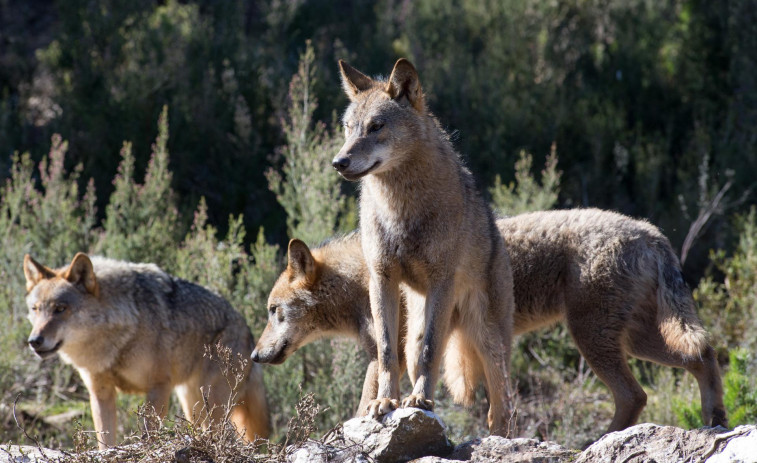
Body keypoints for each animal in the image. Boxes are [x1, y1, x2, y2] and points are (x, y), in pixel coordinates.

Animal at [24, 254, 268, 450]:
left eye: (60, 309)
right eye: (35, 309)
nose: (34, 341)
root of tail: (248, 331)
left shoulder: (158, 387)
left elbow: (148, 435)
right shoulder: (101, 393)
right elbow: (105, 441)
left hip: (212, 405)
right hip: (193, 405)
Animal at [252, 208, 728, 436]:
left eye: (274, 312)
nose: (255, 356)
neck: (361, 279)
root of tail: (652, 232)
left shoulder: (388, 357)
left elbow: (365, 403)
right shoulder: (388, 356)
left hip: (596, 340)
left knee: (635, 394)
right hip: (637, 341)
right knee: (703, 356)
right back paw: (715, 419)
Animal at [332, 57, 516, 436]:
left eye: (376, 127)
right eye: (348, 128)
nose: (338, 162)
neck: (400, 208)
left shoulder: (441, 280)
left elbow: (433, 351)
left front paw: (419, 401)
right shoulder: (381, 279)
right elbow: (387, 353)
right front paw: (384, 402)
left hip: (488, 343)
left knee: (501, 409)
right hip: (417, 327)